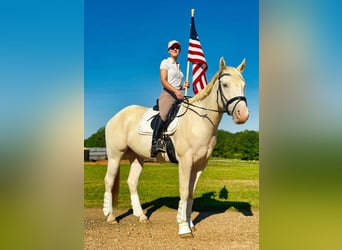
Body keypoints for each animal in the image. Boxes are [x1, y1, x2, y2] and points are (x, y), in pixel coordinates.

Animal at [101, 56, 248, 236]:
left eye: (243, 85)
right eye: (225, 85)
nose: (243, 115)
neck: (198, 120)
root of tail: (116, 116)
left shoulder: (199, 164)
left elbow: (191, 193)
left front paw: (190, 223)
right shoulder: (185, 161)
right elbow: (184, 191)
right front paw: (183, 227)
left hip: (137, 157)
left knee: (132, 182)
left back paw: (141, 216)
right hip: (115, 155)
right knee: (109, 180)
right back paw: (110, 216)